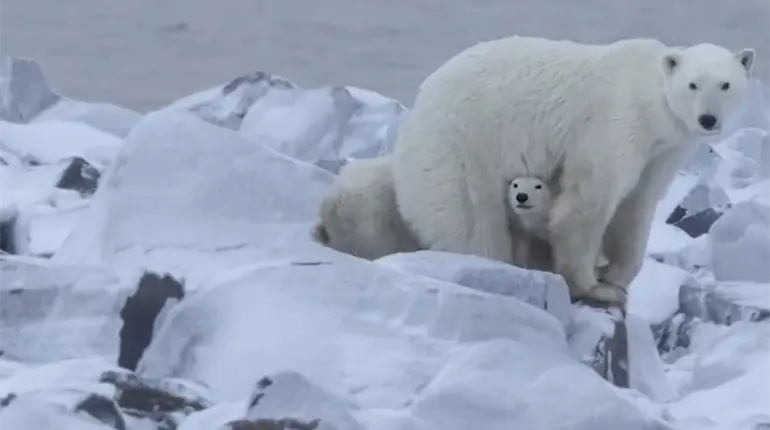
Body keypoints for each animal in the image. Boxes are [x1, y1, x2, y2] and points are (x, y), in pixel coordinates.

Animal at [392, 36, 756, 308]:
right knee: (472, 225)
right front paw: (594, 286)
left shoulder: (664, 149)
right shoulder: (615, 122)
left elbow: (638, 204)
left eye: (725, 85)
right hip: (461, 149)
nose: (708, 119)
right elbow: (588, 203)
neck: (649, 98)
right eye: (693, 85)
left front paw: (617, 275)